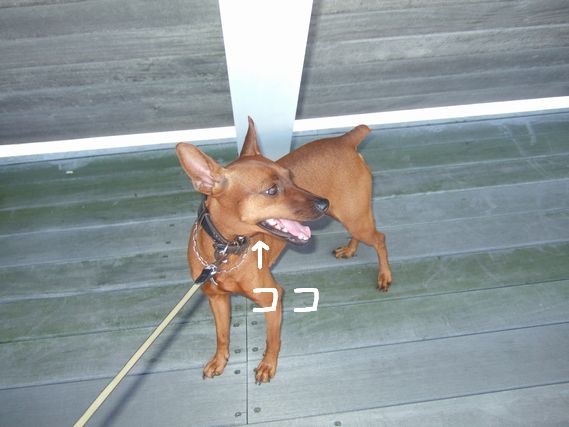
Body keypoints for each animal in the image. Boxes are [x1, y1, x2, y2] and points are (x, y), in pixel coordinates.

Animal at [176, 117, 392, 383]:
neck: (224, 252)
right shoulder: (217, 299)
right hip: (350, 216)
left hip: (355, 217)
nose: (323, 203)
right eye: (271, 190)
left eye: (292, 177)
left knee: (380, 239)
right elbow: (222, 335)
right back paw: (350, 249)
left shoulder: (272, 298)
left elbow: (272, 340)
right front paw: (219, 361)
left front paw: (267, 365)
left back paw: (385, 276)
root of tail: (344, 139)